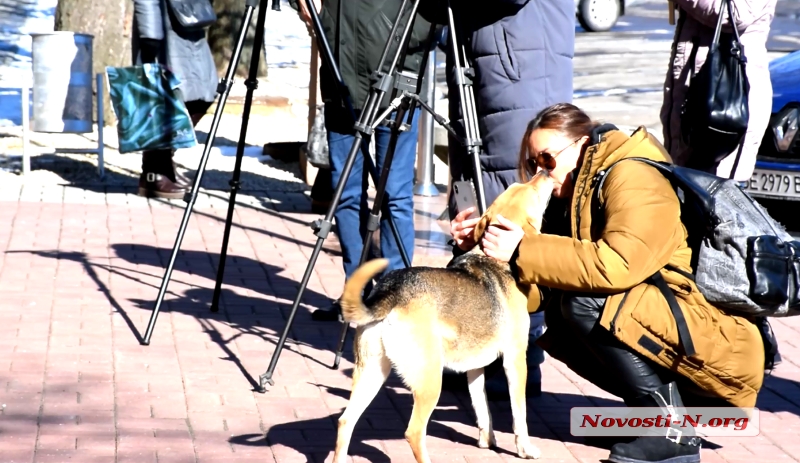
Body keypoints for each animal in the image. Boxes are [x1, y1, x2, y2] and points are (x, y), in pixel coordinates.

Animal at [332, 172, 556, 462]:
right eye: (534, 193)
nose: (545, 171)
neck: (493, 259)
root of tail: (392, 292)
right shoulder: (515, 360)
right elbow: (520, 414)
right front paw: (525, 449)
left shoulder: (475, 367)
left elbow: (481, 406)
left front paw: (487, 440)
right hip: (429, 381)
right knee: (414, 432)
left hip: (372, 371)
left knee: (345, 421)